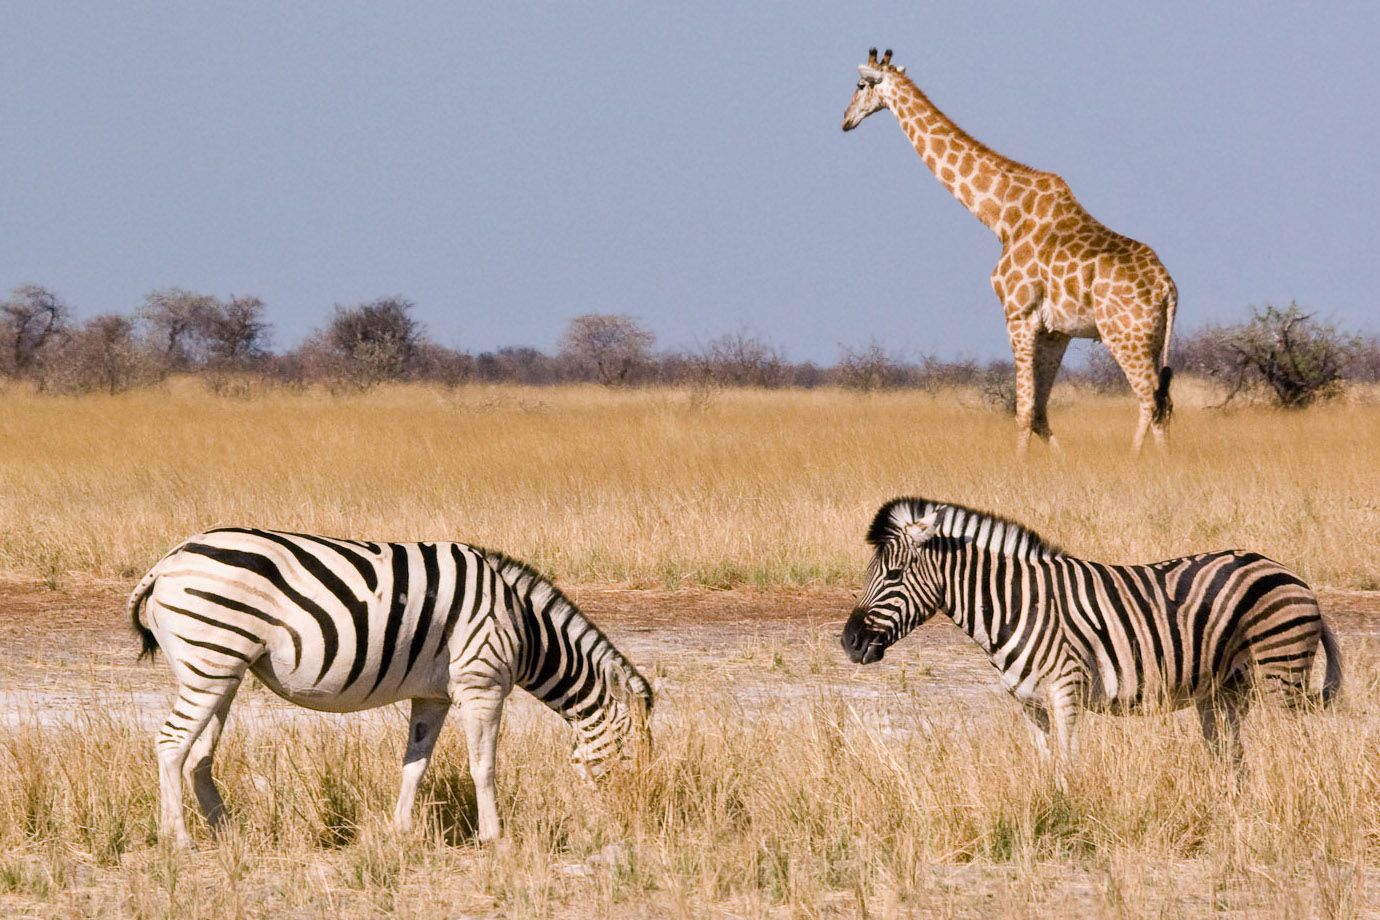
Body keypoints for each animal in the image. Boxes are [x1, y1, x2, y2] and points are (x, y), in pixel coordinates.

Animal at [842, 48, 1177, 454]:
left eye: (861, 85)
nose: (845, 120)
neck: (1001, 215)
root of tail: (1168, 288)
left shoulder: (1018, 315)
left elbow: (1023, 411)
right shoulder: (1055, 331)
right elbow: (1040, 412)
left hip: (1125, 334)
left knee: (1150, 400)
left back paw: (1136, 460)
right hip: (1153, 339)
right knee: (1160, 403)